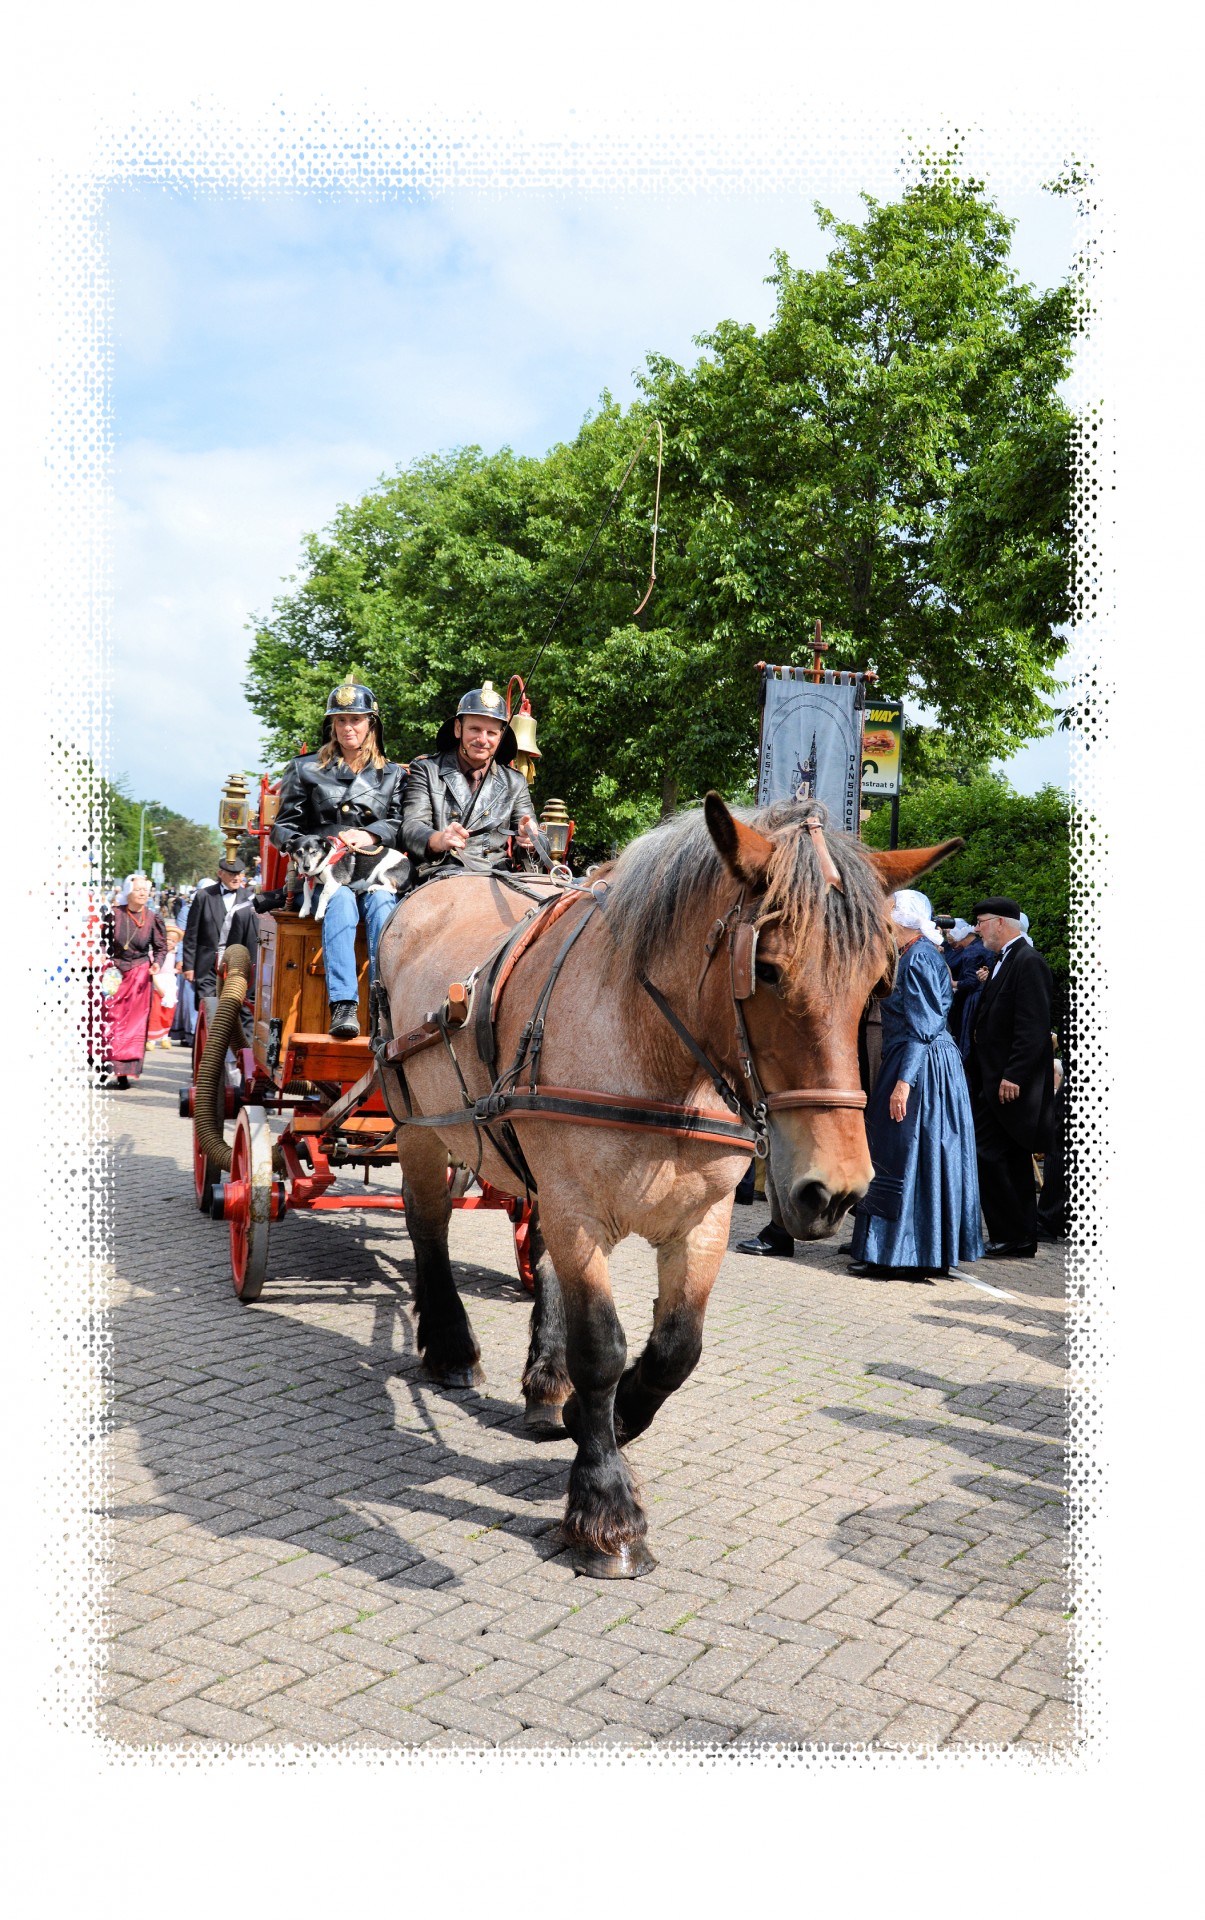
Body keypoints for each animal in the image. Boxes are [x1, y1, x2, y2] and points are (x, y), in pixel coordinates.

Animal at [376, 791, 959, 1574]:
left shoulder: (702, 1219)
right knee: (429, 1225)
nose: (833, 1191)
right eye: (765, 969)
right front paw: (605, 1508)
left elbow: (676, 1348)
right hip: (418, 1125)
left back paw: (546, 1384)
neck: (654, 1049)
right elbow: (602, 1347)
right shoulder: (579, 1209)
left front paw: (599, 1417)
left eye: (878, 981)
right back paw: (449, 1346)